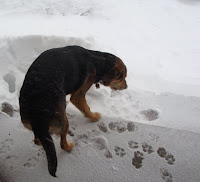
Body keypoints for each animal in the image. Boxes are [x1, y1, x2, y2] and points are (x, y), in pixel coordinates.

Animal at [19, 45, 127, 176]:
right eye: (122, 77)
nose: (126, 87)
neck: (97, 61)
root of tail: (38, 118)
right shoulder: (79, 95)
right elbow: (86, 108)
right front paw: (94, 117)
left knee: (37, 140)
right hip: (64, 121)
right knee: (62, 144)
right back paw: (69, 146)